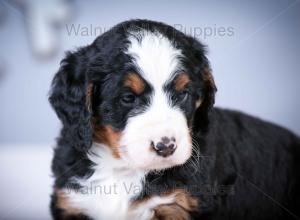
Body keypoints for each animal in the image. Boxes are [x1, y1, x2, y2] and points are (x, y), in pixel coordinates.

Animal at [49, 19, 300, 220]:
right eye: (128, 97)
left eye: (183, 94)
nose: (166, 146)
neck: (124, 170)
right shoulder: (72, 202)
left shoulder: (177, 207)